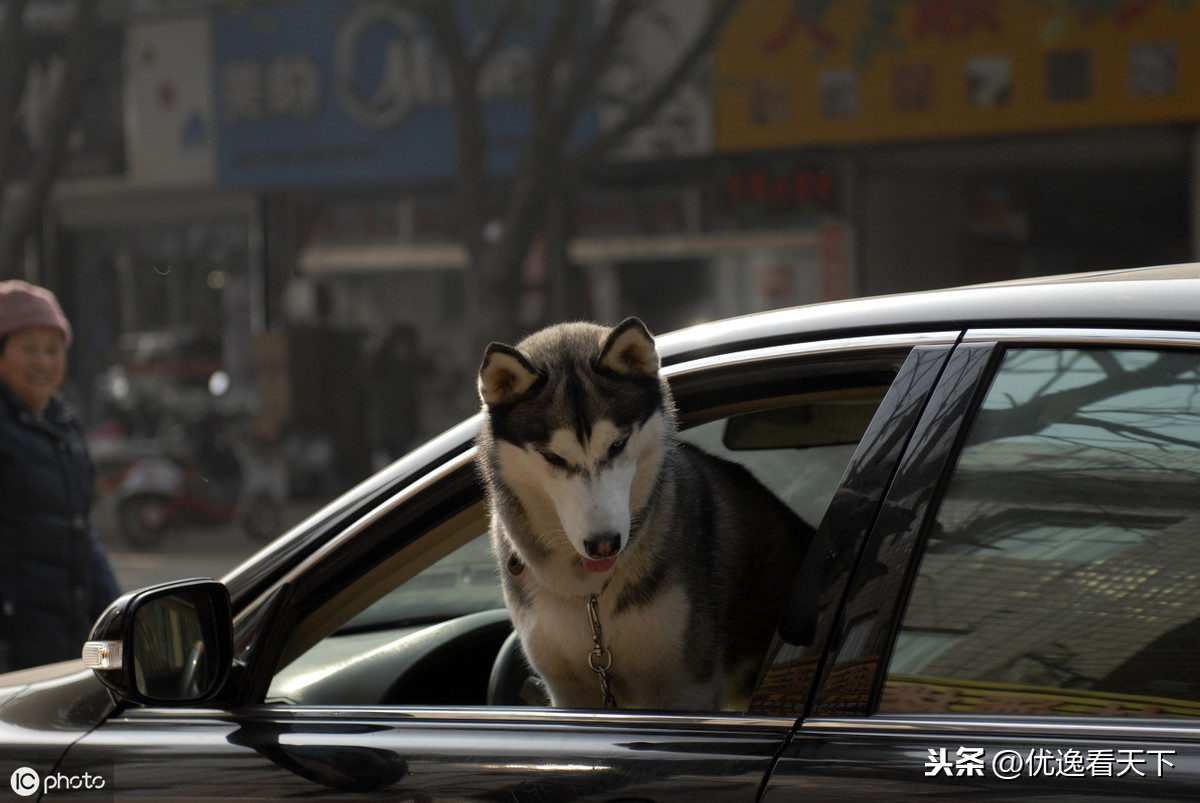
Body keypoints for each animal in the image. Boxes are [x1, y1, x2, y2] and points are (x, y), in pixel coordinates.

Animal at [475, 316, 806, 705]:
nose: (603, 544)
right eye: (553, 457)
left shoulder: (682, 686)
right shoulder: (569, 691)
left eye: (618, 444)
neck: (589, 595)